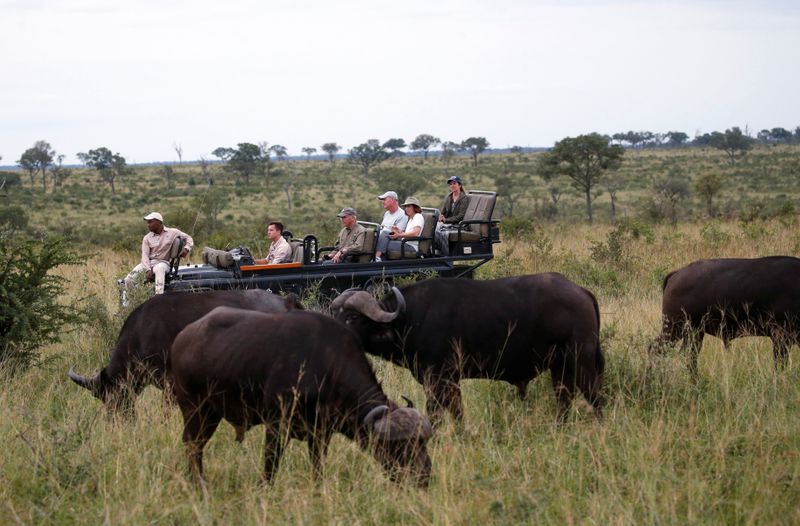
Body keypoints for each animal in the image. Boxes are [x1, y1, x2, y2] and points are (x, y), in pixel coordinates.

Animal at [67, 288, 300, 416]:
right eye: (100, 397)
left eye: (114, 393)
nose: (114, 419)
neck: (141, 332)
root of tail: (285, 301)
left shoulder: (170, 383)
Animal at [167, 310, 432, 486]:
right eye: (399, 446)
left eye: (422, 443)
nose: (424, 476)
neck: (324, 365)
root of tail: (181, 338)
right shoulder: (276, 424)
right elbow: (270, 464)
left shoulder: (321, 433)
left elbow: (318, 466)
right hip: (194, 409)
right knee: (192, 444)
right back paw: (199, 483)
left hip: (212, 414)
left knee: (197, 445)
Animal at [328, 274, 604, 422]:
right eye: (337, 313)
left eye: (352, 317)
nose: (334, 330)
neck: (410, 319)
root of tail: (581, 292)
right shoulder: (445, 381)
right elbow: (457, 412)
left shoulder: (441, 379)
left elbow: (439, 413)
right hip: (560, 366)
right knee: (564, 398)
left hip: (582, 360)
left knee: (594, 396)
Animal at [656, 256, 800, 376]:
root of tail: (677, 274)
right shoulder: (780, 338)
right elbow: (779, 364)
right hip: (674, 329)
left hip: (695, 332)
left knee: (690, 357)